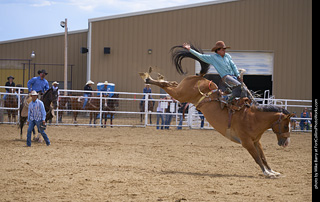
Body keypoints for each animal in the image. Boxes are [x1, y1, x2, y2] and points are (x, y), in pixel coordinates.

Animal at [139, 44, 294, 178]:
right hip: (181, 94)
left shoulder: (256, 141)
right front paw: (267, 173)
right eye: (286, 126)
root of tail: (200, 77)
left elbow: (263, 157)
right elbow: (257, 158)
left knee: (170, 84)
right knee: (166, 86)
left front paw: (273, 171)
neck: (253, 117)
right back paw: (148, 78)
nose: (286, 143)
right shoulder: (247, 142)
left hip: (181, 92)